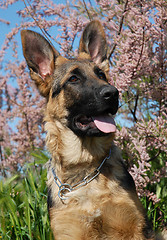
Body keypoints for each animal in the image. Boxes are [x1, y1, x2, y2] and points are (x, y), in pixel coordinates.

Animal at [20, 21, 159, 240]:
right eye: (73, 79)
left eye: (101, 74)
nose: (113, 93)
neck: (85, 166)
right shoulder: (69, 232)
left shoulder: (134, 228)